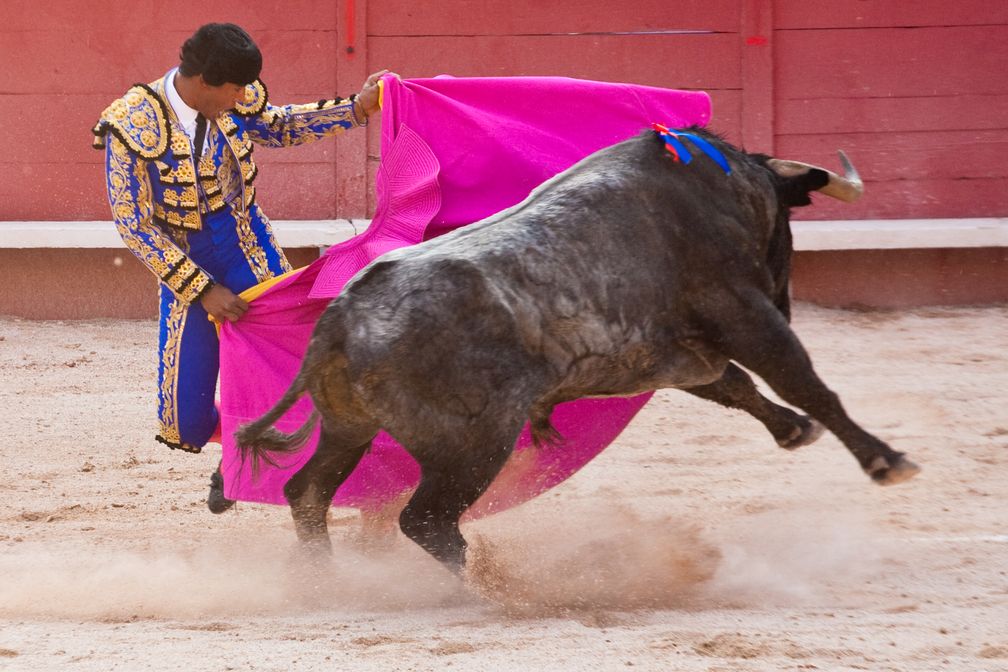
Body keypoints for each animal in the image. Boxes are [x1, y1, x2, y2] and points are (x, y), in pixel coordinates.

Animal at [235, 127, 923, 572]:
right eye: (788, 218)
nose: (788, 291)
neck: (722, 189)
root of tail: (339, 320)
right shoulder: (747, 315)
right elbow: (804, 381)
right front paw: (886, 460)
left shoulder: (676, 355)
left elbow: (736, 386)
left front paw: (793, 430)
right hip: (473, 447)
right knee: (426, 521)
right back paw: (490, 589)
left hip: (348, 428)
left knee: (308, 493)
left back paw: (324, 576)